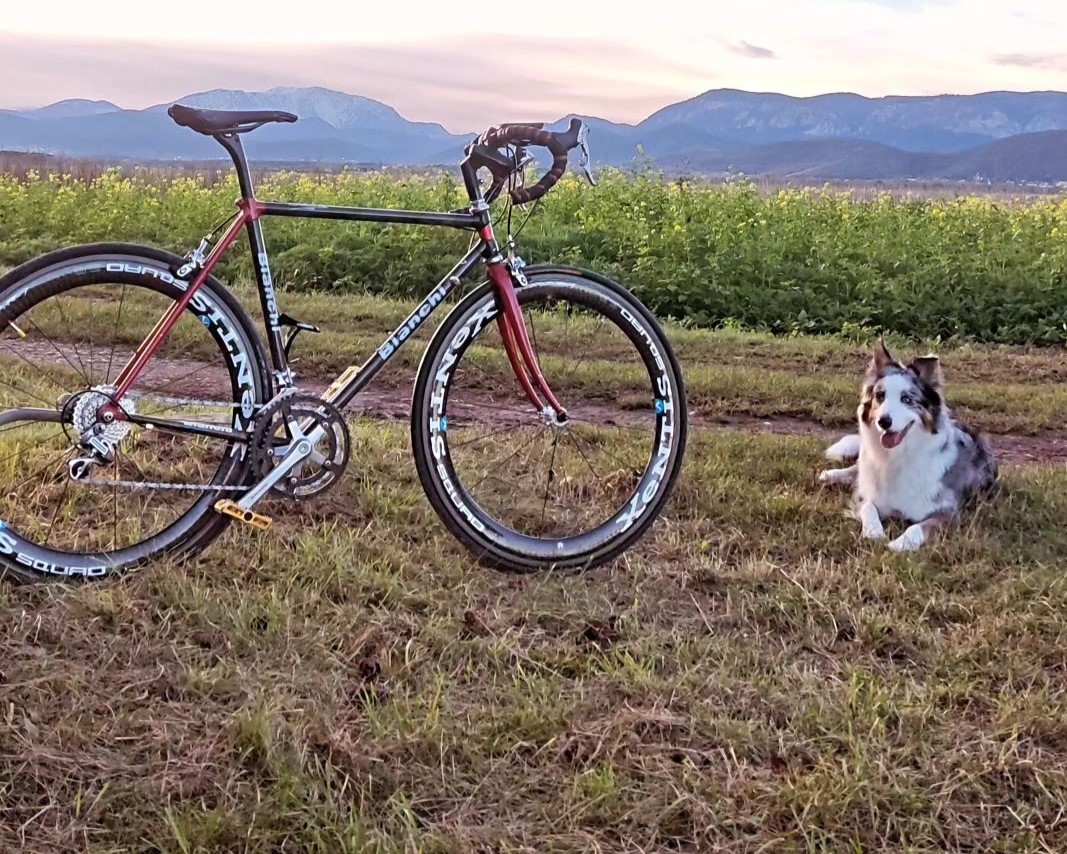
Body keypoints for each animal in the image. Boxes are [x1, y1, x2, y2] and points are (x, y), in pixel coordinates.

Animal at [815, 339, 998, 555]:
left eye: (907, 399)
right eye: (880, 396)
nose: (884, 422)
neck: (896, 456)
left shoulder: (948, 513)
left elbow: (918, 527)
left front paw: (900, 544)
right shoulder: (865, 495)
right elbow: (869, 507)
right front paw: (874, 533)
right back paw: (831, 474)